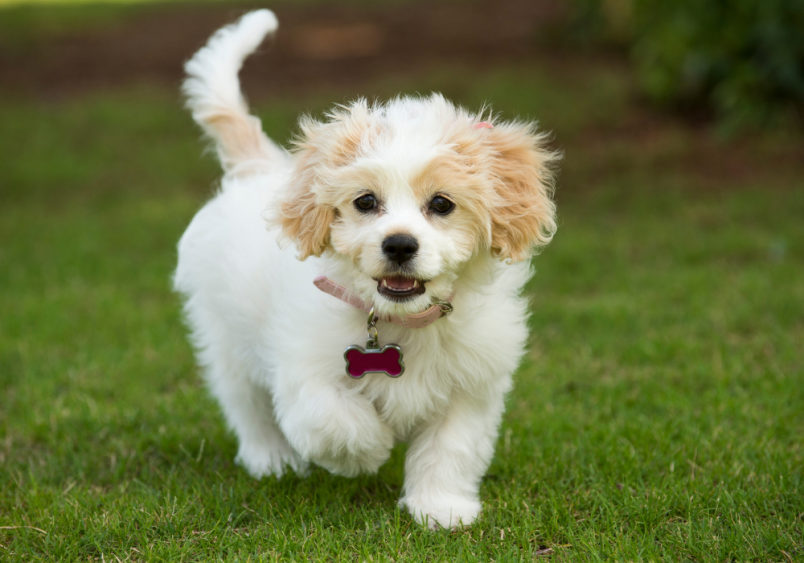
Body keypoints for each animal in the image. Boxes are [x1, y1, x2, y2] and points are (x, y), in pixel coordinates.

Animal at [174, 7, 556, 528]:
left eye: (442, 203)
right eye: (365, 201)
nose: (399, 244)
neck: (402, 322)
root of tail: (259, 169)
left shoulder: (471, 386)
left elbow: (450, 448)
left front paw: (440, 508)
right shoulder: (303, 369)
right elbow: (334, 420)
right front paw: (370, 450)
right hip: (226, 337)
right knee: (246, 404)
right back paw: (270, 458)